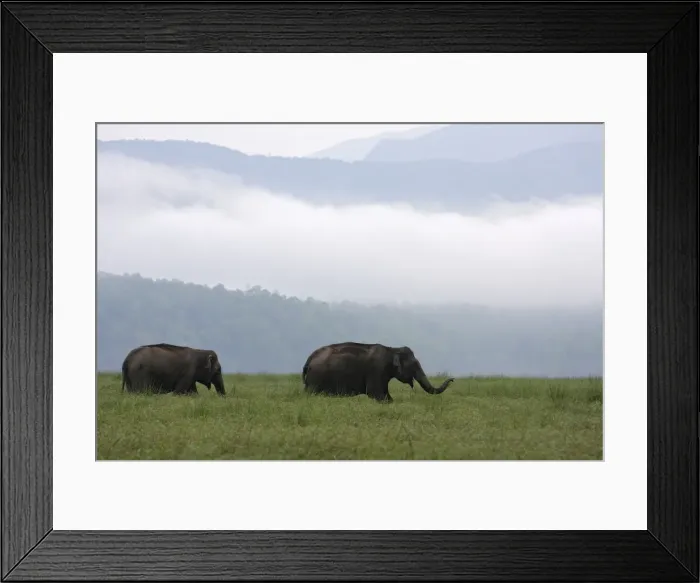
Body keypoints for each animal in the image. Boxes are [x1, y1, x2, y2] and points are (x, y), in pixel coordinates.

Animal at [301, 342, 455, 402]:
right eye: (414, 365)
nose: (453, 379)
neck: (392, 349)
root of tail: (309, 359)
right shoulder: (376, 370)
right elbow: (376, 394)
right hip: (316, 380)